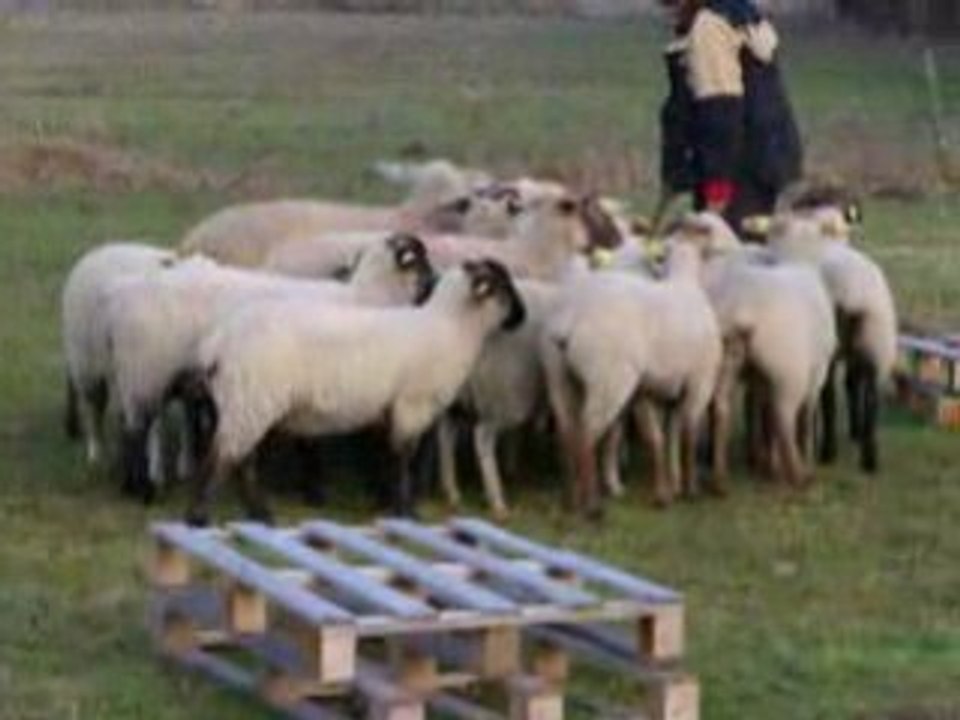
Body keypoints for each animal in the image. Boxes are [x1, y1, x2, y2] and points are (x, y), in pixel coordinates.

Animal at [105, 233, 434, 501]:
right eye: (422, 262)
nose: (435, 284)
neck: (365, 297)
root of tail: (122, 305)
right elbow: (314, 442)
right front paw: (317, 490)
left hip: (137, 375)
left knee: (127, 426)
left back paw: (129, 486)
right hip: (147, 371)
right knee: (137, 429)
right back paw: (143, 490)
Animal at [171, 259, 526, 526]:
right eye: (504, 286)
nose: (523, 317)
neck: (450, 329)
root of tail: (219, 342)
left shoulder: (389, 411)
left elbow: (387, 458)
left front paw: (385, 504)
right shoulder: (411, 406)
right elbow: (404, 459)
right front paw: (406, 511)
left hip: (244, 404)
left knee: (240, 461)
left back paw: (258, 515)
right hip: (251, 400)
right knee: (224, 458)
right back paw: (201, 517)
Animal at [540, 231, 723, 517]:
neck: (685, 282)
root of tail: (571, 320)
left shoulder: (654, 392)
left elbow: (664, 437)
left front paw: (670, 489)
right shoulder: (700, 382)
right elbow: (688, 433)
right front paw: (690, 489)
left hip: (558, 378)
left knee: (566, 432)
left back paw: (571, 499)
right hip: (609, 380)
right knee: (587, 433)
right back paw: (592, 507)